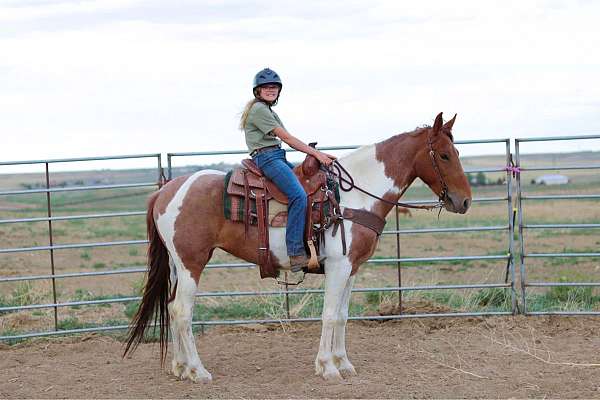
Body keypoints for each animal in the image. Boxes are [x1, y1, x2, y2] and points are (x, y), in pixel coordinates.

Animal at [124, 111, 472, 382]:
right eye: (444, 155)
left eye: (456, 153)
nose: (465, 202)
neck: (356, 194)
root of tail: (166, 190)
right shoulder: (338, 266)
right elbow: (329, 314)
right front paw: (327, 367)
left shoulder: (353, 268)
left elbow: (343, 314)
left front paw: (344, 363)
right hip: (191, 263)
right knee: (182, 311)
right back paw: (198, 371)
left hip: (177, 265)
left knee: (172, 307)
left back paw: (180, 367)